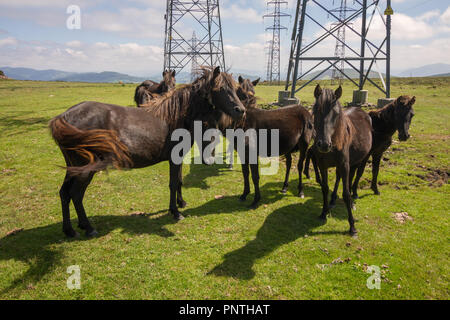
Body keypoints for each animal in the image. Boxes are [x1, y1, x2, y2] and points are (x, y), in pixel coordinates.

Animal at [310, 84, 372, 235]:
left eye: (336, 114)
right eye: (316, 110)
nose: (324, 144)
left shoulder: (345, 165)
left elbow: (346, 194)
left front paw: (352, 226)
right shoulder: (322, 165)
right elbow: (325, 188)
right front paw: (323, 212)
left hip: (359, 160)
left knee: (352, 177)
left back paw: (352, 202)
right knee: (339, 177)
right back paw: (332, 201)